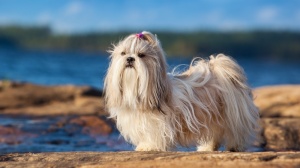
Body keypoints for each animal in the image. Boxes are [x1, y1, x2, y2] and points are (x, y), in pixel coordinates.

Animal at [105, 30, 260, 152]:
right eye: (123, 53)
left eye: (141, 55)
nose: (130, 58)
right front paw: (145, 145)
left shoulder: (159, 124)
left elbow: (154, 135)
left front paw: (150, 146)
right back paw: (207, 147)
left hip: (233, 115)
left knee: (237, 131)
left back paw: (235, 146)